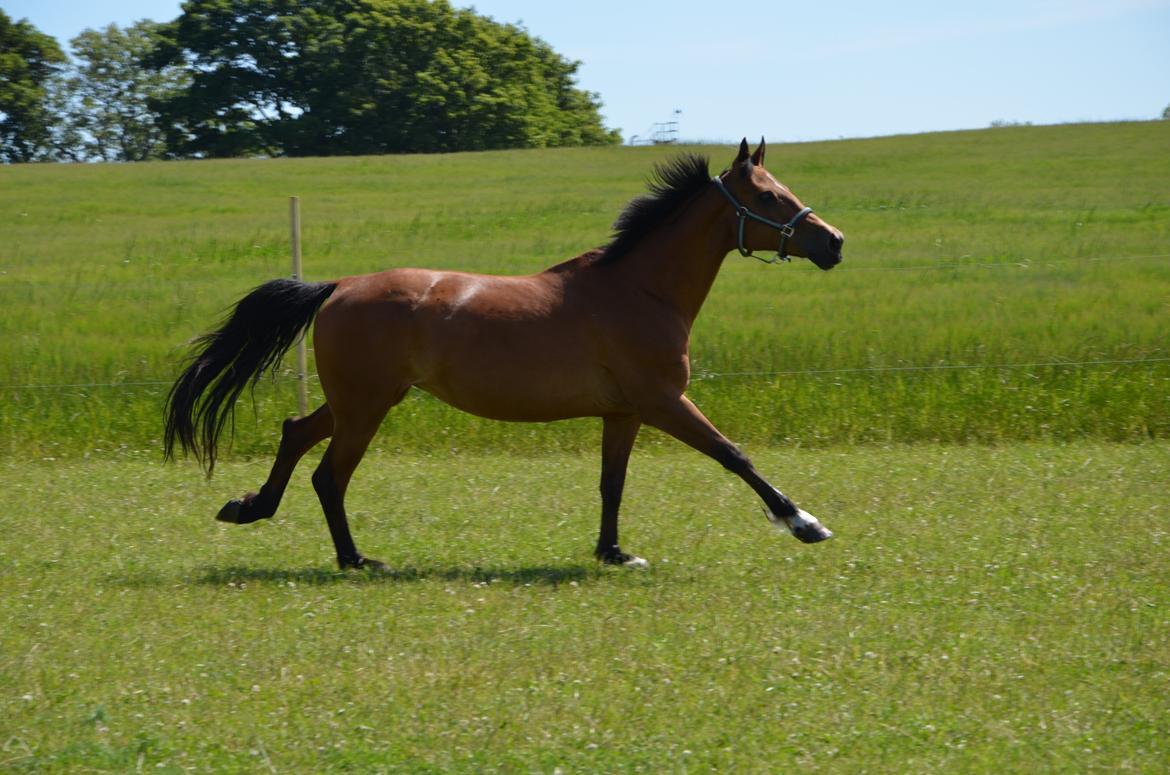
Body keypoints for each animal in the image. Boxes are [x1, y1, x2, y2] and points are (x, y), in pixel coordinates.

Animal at [162, 138, 842, 571]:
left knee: (295, 432)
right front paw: (804, 523)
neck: (639, 289)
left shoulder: (623, 413)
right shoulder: (664, 401)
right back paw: (357, 559)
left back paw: (249, 508)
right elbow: (735, 456)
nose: (834, 242)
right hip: (366, 408)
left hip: (361, 401)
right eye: (771, 197)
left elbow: (612, 485)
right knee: (328, 474)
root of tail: (338, 287)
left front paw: (614, 553)